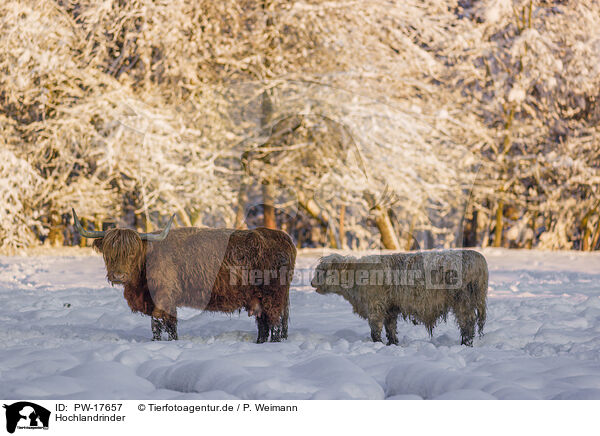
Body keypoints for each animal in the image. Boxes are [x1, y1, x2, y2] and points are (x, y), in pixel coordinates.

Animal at [72, 209, 296, 342]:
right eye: (109, 252)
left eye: (132, 252)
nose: (118, 275)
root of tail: (282, 237)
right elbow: (169, 324)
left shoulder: (164, 297)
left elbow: (158, 324)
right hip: (259, 299)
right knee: (264, 325)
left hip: (273, 296)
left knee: (275, 324)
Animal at [312, 250, 490, 346]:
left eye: (323, 271)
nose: (312, 282)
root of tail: (477, 257)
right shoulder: (390, 308)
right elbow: (390, 328)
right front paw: (393, 344)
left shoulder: (375, 306)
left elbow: (375, 329)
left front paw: (378, 344)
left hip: (462, 301)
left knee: (467, 322)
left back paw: (465, 343)